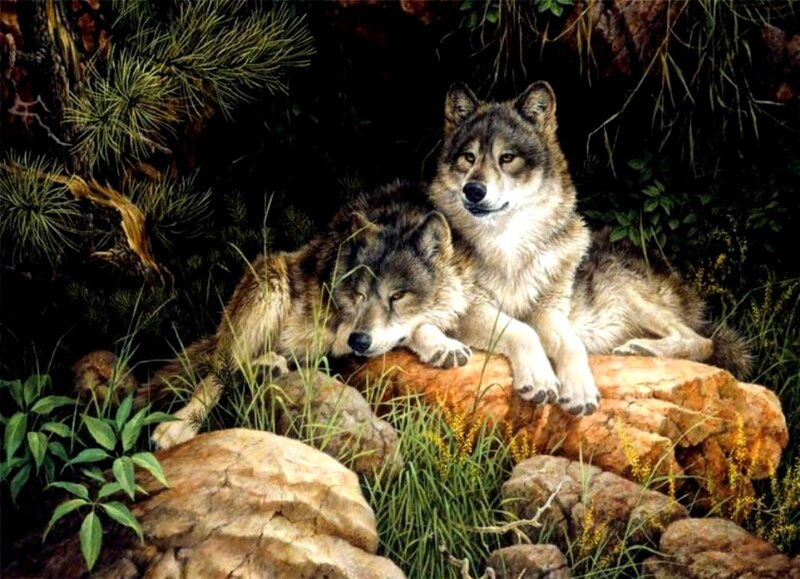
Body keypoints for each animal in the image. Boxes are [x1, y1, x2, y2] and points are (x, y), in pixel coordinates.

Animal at [149, 182, 473, 449]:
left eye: (397, 296)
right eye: (359, 295)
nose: (358, 341)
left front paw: (443, 345)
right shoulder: (339, 328)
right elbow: (414, 328)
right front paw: (443, 346)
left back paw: (267, 368)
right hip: (269, 279)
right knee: (219, 373)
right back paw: (175, 429)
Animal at [428, 81, 750, 416]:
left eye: (507, 158)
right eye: (468, 157)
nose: (473, 190)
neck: (509, 247)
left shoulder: (551, 310)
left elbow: (571, 345)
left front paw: (580, 392)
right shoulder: (469, 309)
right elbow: (521, 330)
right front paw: (541, 380)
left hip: (626, 289)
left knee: (701, 340)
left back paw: (639, 348)